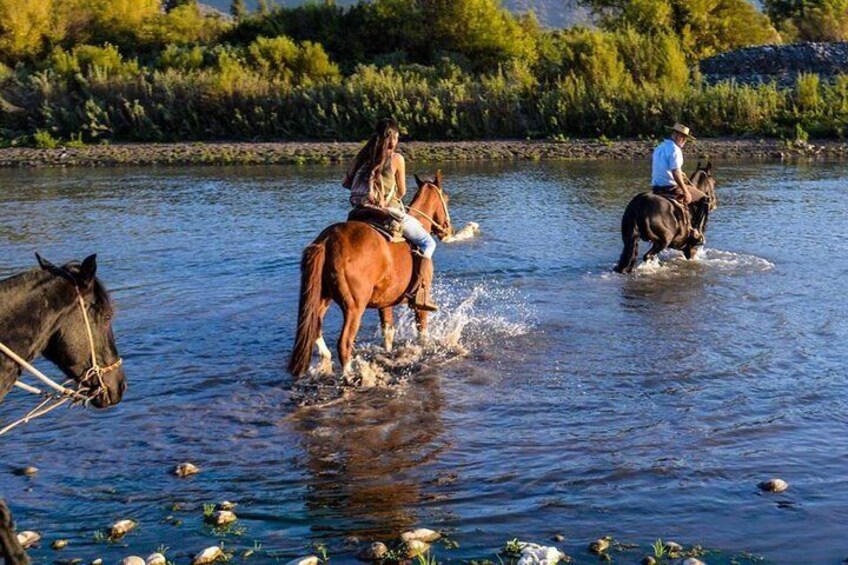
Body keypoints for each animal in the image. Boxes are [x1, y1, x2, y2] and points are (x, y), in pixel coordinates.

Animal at [288, 172, 450, 374]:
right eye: (447, 199)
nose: (447, 229)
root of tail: (327, 240)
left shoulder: (385, 302)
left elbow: (388, 332)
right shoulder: (420, 304)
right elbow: (422, 333)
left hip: (323, 297)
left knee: (315, 327)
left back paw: (326, 361)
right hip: (354, 307)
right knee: (344, 343)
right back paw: (350, 375)